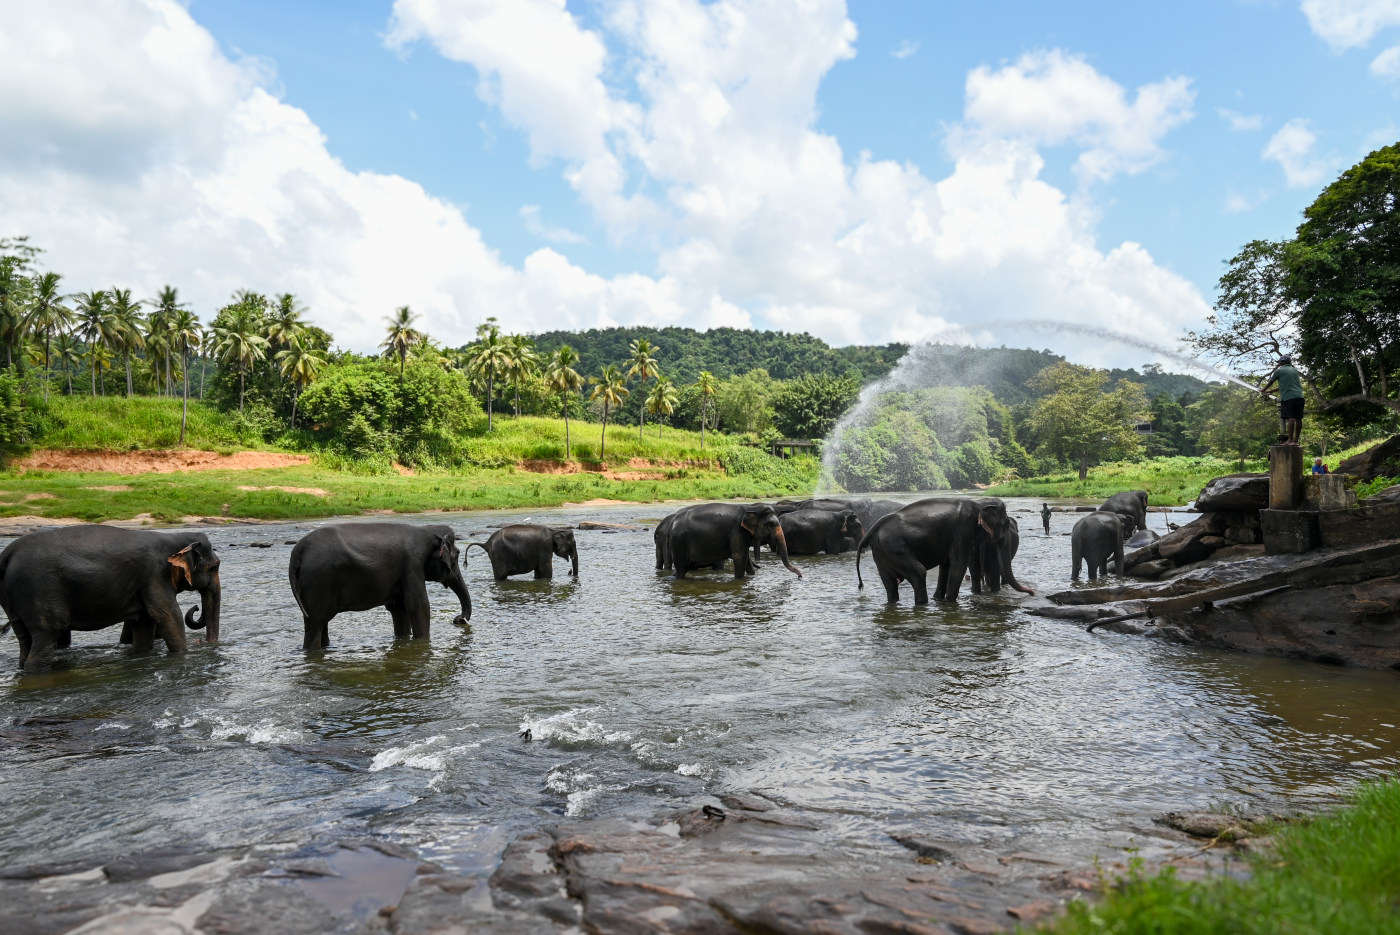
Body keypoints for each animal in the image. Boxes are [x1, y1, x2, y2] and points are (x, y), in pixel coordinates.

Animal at [0, 525, 221, 673]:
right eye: (214, 567)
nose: (204, 643)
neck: (176, 537)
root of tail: (7, 553)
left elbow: (143, 623)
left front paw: (140, 656)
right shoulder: (155, 575)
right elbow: (168, 616)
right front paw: (183, 655)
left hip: (13, 599)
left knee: (24, 637)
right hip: (39, 589)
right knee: (49, 631)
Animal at [289, 522, 471, 651]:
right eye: (457, 556)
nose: (459, 619)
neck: (426, 530)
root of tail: (297, 551)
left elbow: (399, 608)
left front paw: (403, 642)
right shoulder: (413, 565)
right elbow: (418, 606)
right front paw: (423, 642)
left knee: (321, 623)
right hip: (319, 582)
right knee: (315, 623)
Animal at [668, 503, 802, 580]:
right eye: (771, 524)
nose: (800, 576)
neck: (750, 508)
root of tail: (672, 523)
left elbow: (746, 559)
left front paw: (751, 576)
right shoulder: (737, 531)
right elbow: (739, 557)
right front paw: (738, 580)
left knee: (684, 567)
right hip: (679, 544)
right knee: (681, 569)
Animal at [857, 498, 1018, 605]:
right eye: (1005, 524)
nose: (1029, 591)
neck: (979, 503)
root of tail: (871, 531)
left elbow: (946, 566)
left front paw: (939, 599)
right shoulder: (962, 532)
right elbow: (958, 565)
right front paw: (950, 602)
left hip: (882, 554)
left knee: (889, 583)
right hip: (895, 548)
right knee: (919, 572)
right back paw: (922, 604)